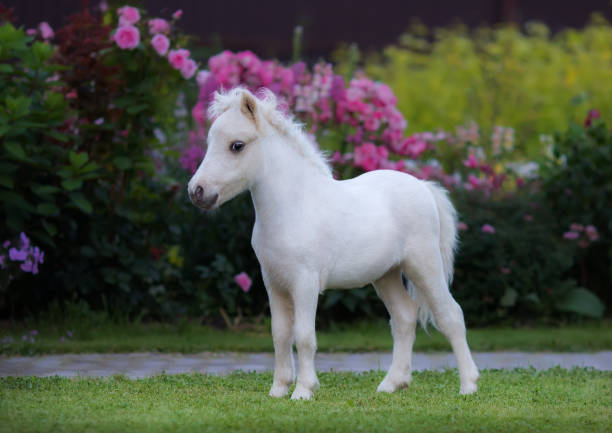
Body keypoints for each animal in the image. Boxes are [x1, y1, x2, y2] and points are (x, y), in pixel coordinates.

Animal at [186, 87, 478, 398]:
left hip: (424, 265)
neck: (294, 207)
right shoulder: (273, 282)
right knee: (404, 317)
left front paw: (303, 390)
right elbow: (280, 334)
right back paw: (392, 383)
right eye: (210, 142)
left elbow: (303, 336)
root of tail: (423, 186)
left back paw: (468, 385)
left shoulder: (304, 282)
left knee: (450, 315)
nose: (197, 191)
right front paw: (279, 389)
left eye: (237, 145)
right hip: (386, 275)